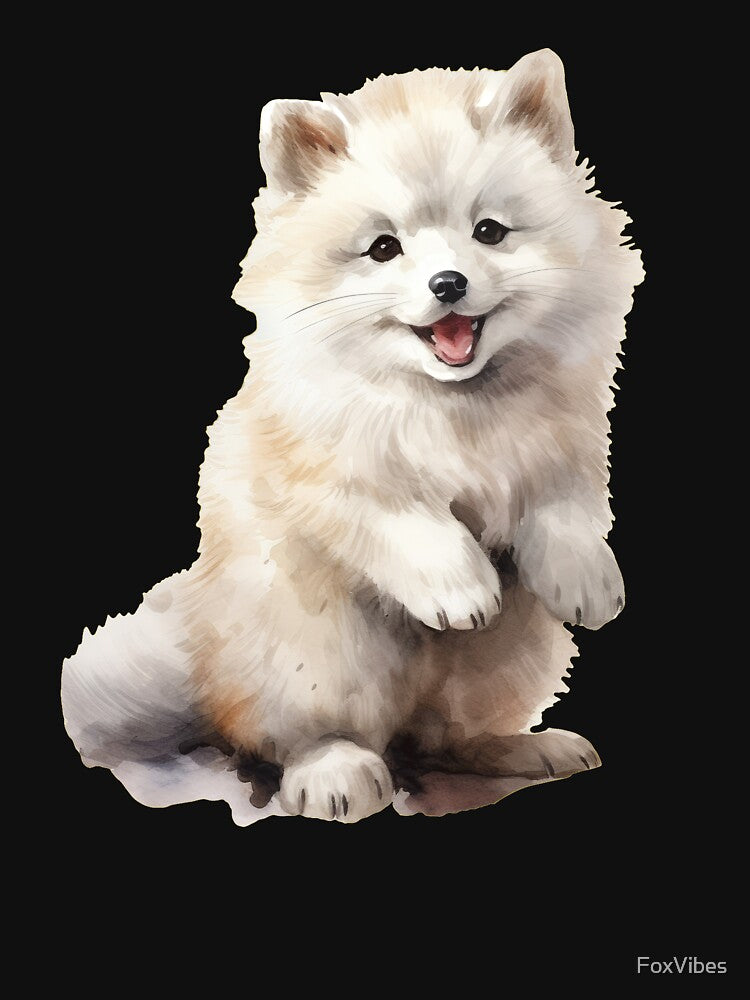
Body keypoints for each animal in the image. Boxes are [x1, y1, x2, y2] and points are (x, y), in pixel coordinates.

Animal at [62, 49, 644, 823]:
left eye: (489, 231)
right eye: (383, 248)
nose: (448, 282)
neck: (454, 404)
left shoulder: (564, 444)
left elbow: (566, 509)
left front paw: (587, 583)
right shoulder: (329, 475)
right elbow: (407, 523)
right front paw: (462, 589)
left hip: (509, 659)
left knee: (446, 736)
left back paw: (525, 750)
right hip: (315, 646)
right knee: (300, 733)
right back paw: (334, 772)